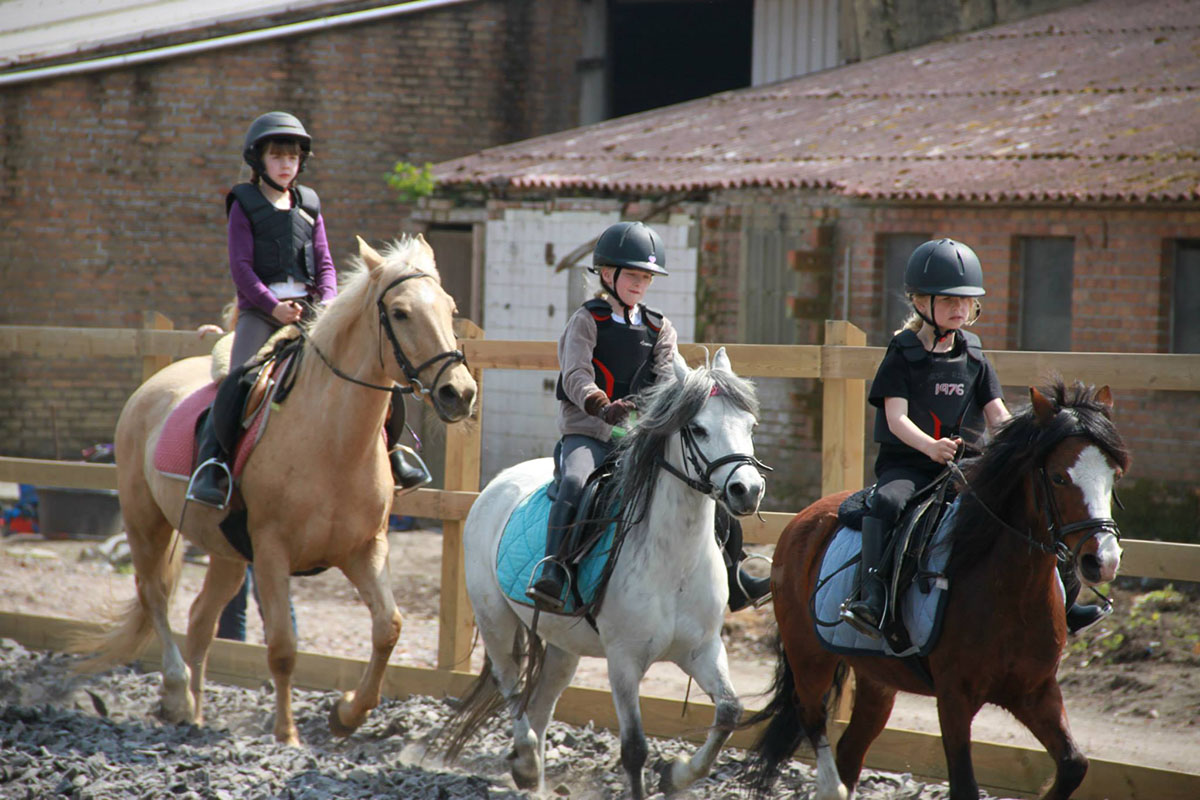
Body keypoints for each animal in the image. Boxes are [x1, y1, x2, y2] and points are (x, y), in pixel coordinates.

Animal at [73, 235, 477, 748]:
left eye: (450, 308)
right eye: (401, 313)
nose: (458, 393)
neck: (333, 441)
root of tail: (151, 387)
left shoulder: (365, 549)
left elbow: (389, 627)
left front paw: (347, 714)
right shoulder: (271, 552)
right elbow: (283, 647)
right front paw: (287, 734)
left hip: (226, 552)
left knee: (200, 619)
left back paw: (196, 713)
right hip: (147, 524)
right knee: (155, 598)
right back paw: (178, 695)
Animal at [441, 350, 768, 800]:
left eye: (750, 426)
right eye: (698, 429)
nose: (747, 490)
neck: (674, 562)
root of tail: (497, 485)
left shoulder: (701, 649)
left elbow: (730, 712)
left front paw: (676, 774)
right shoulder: (624, 660)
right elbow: (634, 749)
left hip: (563, 647)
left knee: (540, 705)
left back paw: (533, 777)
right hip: (496, 622)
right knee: (512, 688)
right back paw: (524, 762)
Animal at [744, 381, 1128, 800]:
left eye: (1114, 475)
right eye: (1058, 477)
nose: (1102, 560)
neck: (1009, 593)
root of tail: (801, 520)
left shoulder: (1035, 692)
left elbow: (1074, 765)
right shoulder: (955, 697)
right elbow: (964, 785)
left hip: (878, 680)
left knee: (850, 749)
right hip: (810, 658)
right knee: (812, 720)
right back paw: (831, 784)